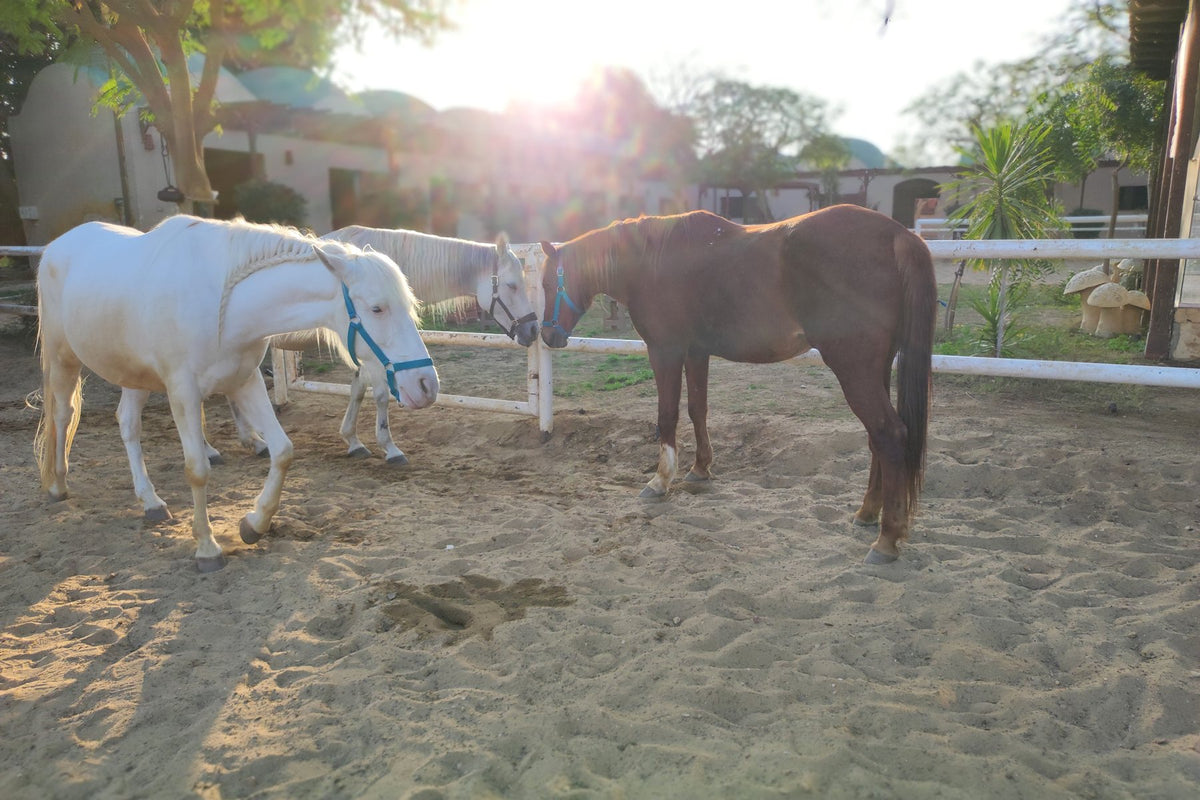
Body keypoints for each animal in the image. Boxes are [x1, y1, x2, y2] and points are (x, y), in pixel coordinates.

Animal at [35, 215, 439, 572]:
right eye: (377, 308)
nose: (427, 386)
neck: (226, 307)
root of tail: (55, 247)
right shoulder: (182, 391)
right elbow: (197, 470)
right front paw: (207, 547)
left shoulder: (245, 381)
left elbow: (283, 451)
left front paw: (253, 524)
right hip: (63, 358)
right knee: (63, 416)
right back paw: (57, 484)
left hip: (133, 375)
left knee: (128, 425)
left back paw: (150, 502)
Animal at [216, 226, 538, 465]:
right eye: (511, 285)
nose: (533, 329)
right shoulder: (373, 354)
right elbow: (381, 395)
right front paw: (389, 448)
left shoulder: (366, 350)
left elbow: (358, 390)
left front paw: (353, 440)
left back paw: (253, 441)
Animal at [539, 204, 936, 564]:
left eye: (545, 284)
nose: (546, 335)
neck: (652, 260)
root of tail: (899, 235)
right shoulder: (696, 351)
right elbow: (697, 409)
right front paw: (700, 469)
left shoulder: (665, 350)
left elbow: (667, 415)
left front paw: (660, 481)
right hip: (875, 369)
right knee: (877, 440)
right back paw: (867, 513)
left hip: (854, 368)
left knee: (889, 435)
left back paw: (886, 539)